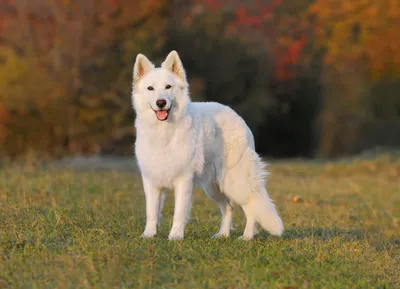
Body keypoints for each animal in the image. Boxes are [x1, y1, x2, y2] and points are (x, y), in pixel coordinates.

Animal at [133, 50, 282, 240]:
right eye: (150, 88)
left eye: (168, 87)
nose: (161, 103)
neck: (163, 131)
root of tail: (237, 116)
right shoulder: (151, 181)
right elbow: (151, 212)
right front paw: (148, 235)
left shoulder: (183, 180)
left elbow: (179, 213)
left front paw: (175, 237)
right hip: (213, 186)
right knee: (229, 207)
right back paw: (223, 235)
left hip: (235, 182)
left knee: (251, 207)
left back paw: (247, 237)